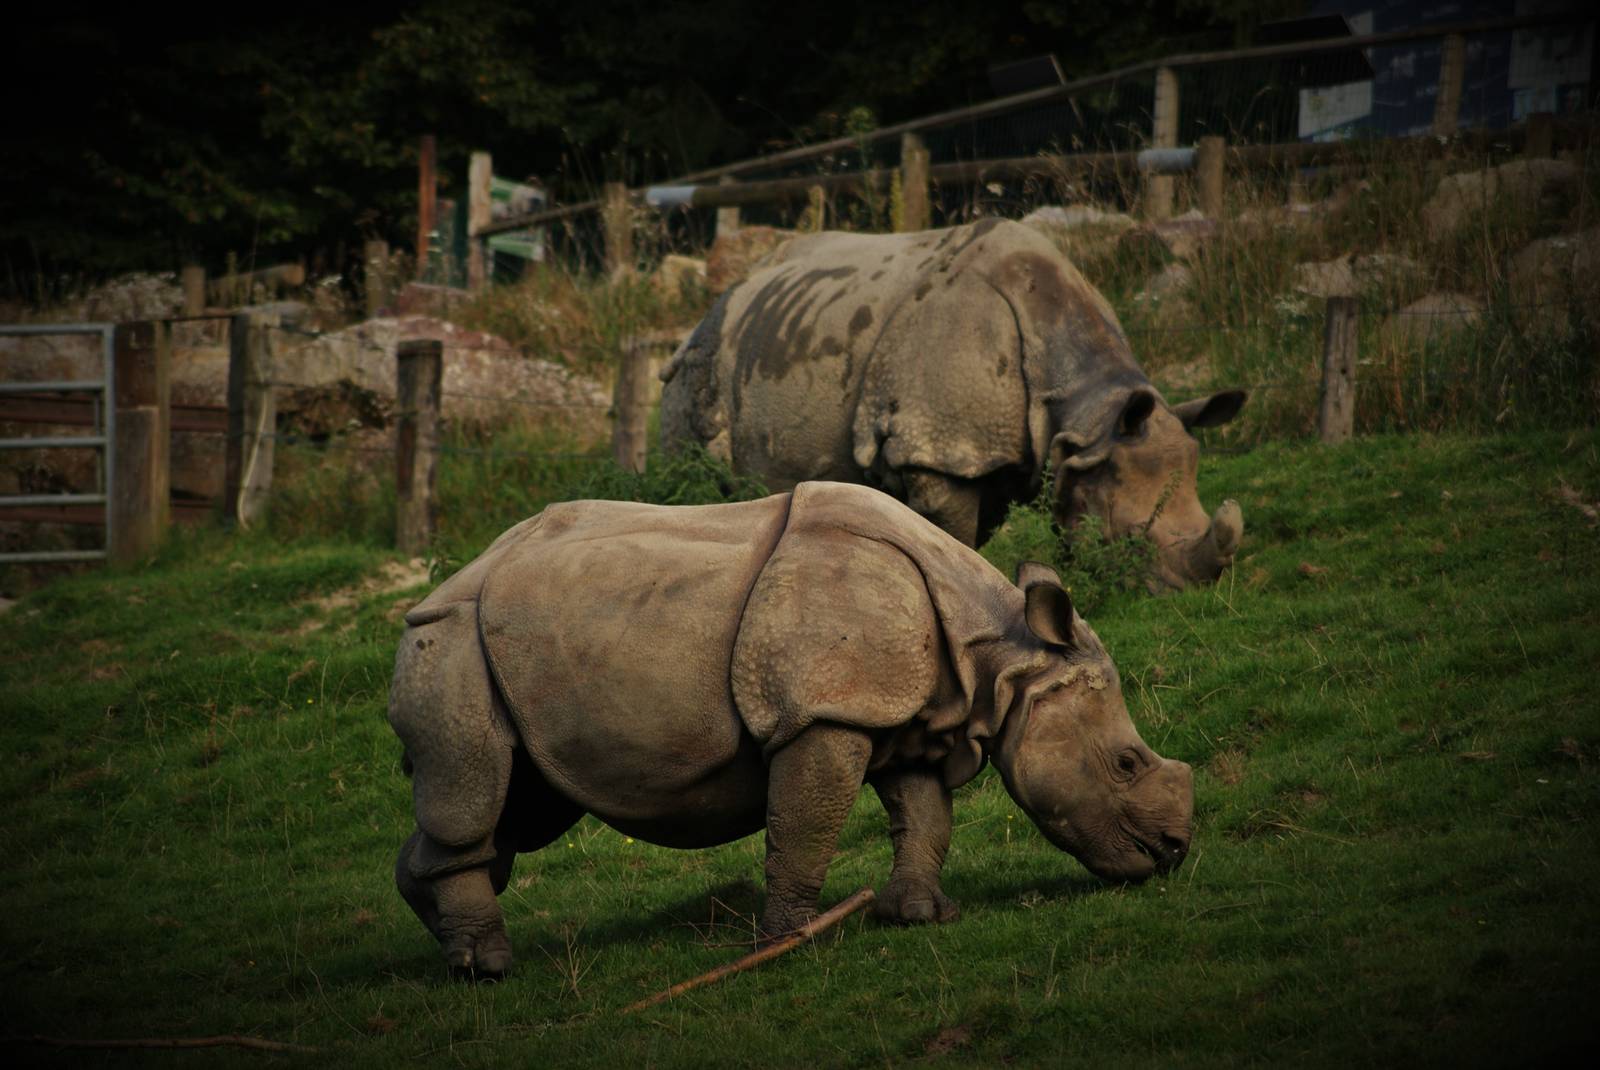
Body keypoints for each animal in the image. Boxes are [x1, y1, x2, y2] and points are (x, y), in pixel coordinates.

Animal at [389, 481, 1194, 976]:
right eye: (1127, 763)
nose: (1176, 852)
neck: (997, 658)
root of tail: (432, 595)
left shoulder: (907, 711)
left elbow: (925, 816)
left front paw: (920, 917)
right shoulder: (825, 711)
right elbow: (806, 822)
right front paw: (793, 942)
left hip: (504, 650)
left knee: (518, 806)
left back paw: (449, 949)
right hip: (450, 641)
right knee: (477, 795)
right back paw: (487, 968)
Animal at [660, 219, 1247, 589]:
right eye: (1129, 538)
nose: (1186, 593)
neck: (1086, 412)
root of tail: (712, 303)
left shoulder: (992, 452)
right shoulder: (939, 447)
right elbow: (952, 533)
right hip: (695, 365)